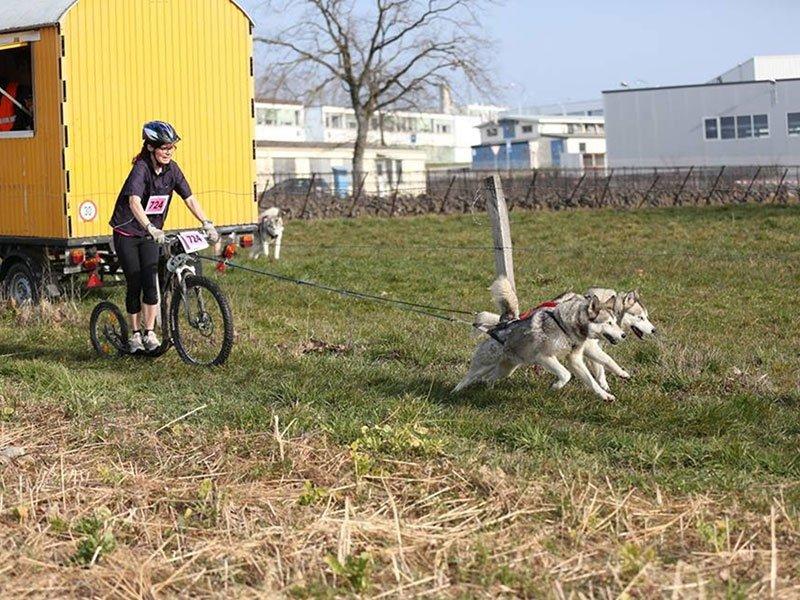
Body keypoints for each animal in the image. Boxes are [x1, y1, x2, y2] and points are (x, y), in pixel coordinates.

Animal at [456, 278, 624, 400]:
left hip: (506, 369)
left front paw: (606, 395)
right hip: (483, 365)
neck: (565, 326)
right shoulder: (544, 357)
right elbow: (566, 374)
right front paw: (555, 386)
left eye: (615, 322)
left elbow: (592, 380)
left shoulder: (575, 359)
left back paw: (487, 389)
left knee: (489, 378)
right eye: (609, 323)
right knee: (468, 378)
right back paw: (455, 392)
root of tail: (501, 325)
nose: (624, 335)